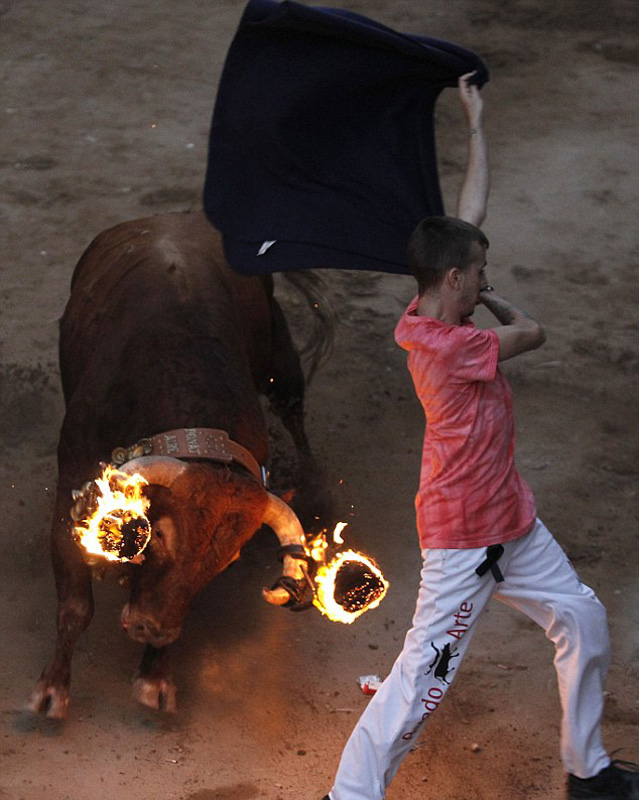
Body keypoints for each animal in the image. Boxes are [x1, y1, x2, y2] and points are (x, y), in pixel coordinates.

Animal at [26, 208, 332, 720]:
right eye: (160, 535)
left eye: (226, 560)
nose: (152, 629)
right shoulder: (72, 487)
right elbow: (74, 607)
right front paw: (51, 689)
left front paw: (155, 677)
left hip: (280, 354)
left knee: (293, 407)